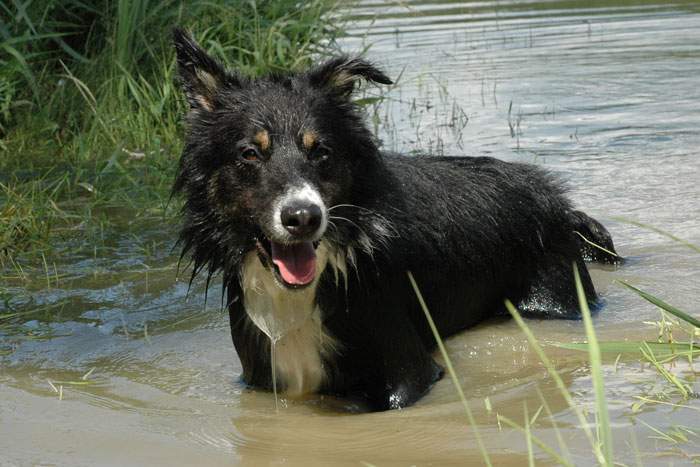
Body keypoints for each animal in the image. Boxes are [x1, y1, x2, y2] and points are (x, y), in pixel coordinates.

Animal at [172, 29, 620, 412]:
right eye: (249, 153)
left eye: (321, 152)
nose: (304, 217)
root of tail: (558, 199)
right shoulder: (261, 379)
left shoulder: (408, 374)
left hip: (556, 298)